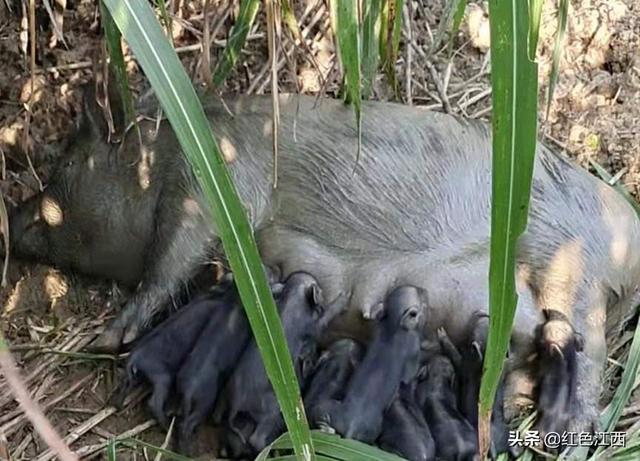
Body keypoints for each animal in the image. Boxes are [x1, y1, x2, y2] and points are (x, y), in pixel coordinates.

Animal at [316, 288, 424, 442]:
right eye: (420, 295)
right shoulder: (414, 346)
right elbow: (408, 376)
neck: (393, 326)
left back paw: (325, 428)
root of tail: (351, 427)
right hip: (374, 428)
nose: (424, 290)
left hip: (331, 409)